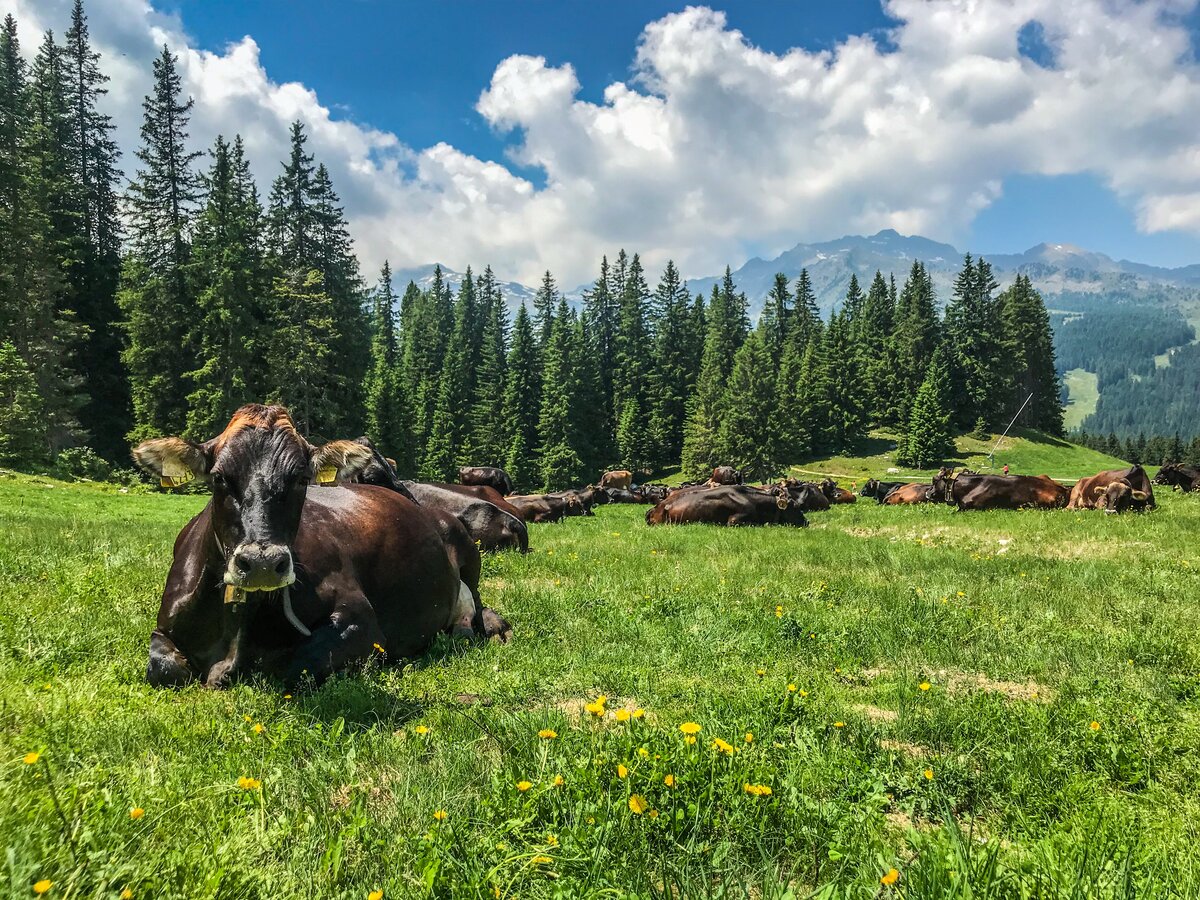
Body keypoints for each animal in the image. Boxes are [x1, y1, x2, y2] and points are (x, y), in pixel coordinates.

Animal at [133, 405, 508, 696]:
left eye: (301, 479)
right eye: (219, 477)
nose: (262, 562)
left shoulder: (362, 623)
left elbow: (288, 665)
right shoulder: (164, 628)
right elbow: (164, 670)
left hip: (467, 556)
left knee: (477, 604)